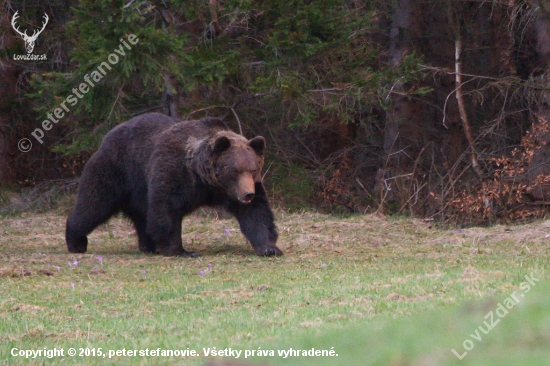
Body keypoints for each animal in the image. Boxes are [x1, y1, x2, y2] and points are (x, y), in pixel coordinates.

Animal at [66, 112, 284, 258]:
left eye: (253, 169)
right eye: (235, 170)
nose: (248, 194)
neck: (204, 179)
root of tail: (110, 133)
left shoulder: (232, 191)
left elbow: (257, 214)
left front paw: (269, 248)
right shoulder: (173, 172)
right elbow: (166, 210)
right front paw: (181, 250)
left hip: (138, 191)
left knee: (141, 217)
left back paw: (148, 246)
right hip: (116, 171)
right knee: (93, 205)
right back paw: (76, 241)